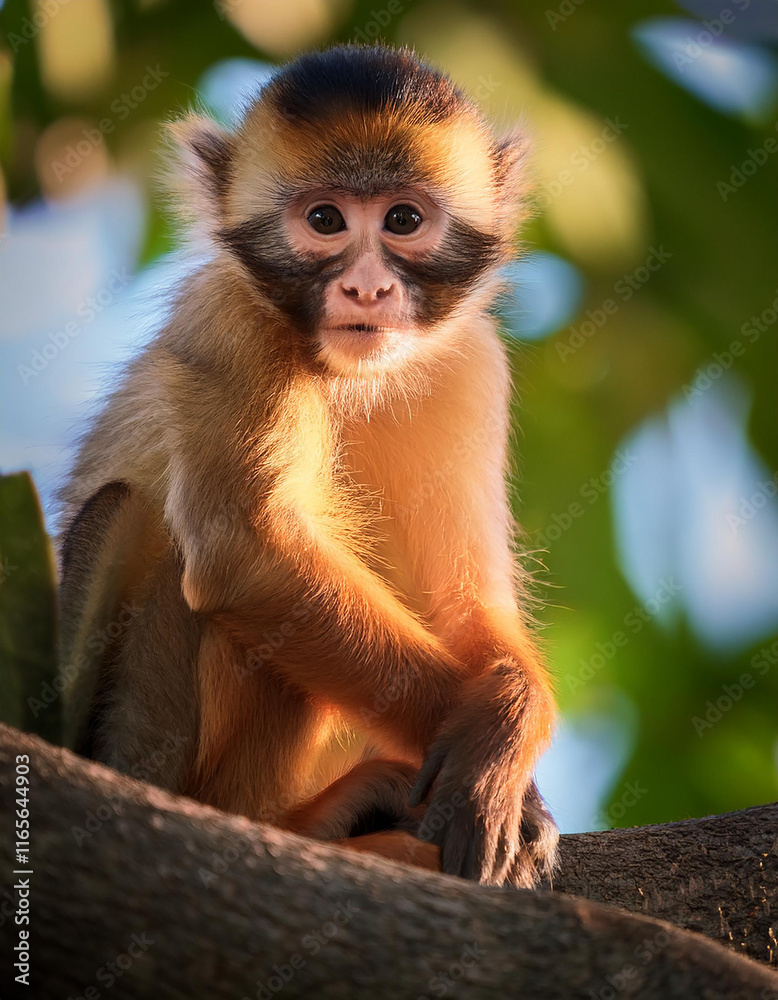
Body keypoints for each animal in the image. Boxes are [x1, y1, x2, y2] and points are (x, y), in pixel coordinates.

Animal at [57, 44, 558, 887]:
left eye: (403, 220)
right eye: (325, 221)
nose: (367, 287)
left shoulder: (471, 361)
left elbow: (465, 601)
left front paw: (508, 719)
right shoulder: (230, 321)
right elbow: (244, 550)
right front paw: (499, 768)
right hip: (133, 738)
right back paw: (291, 825)